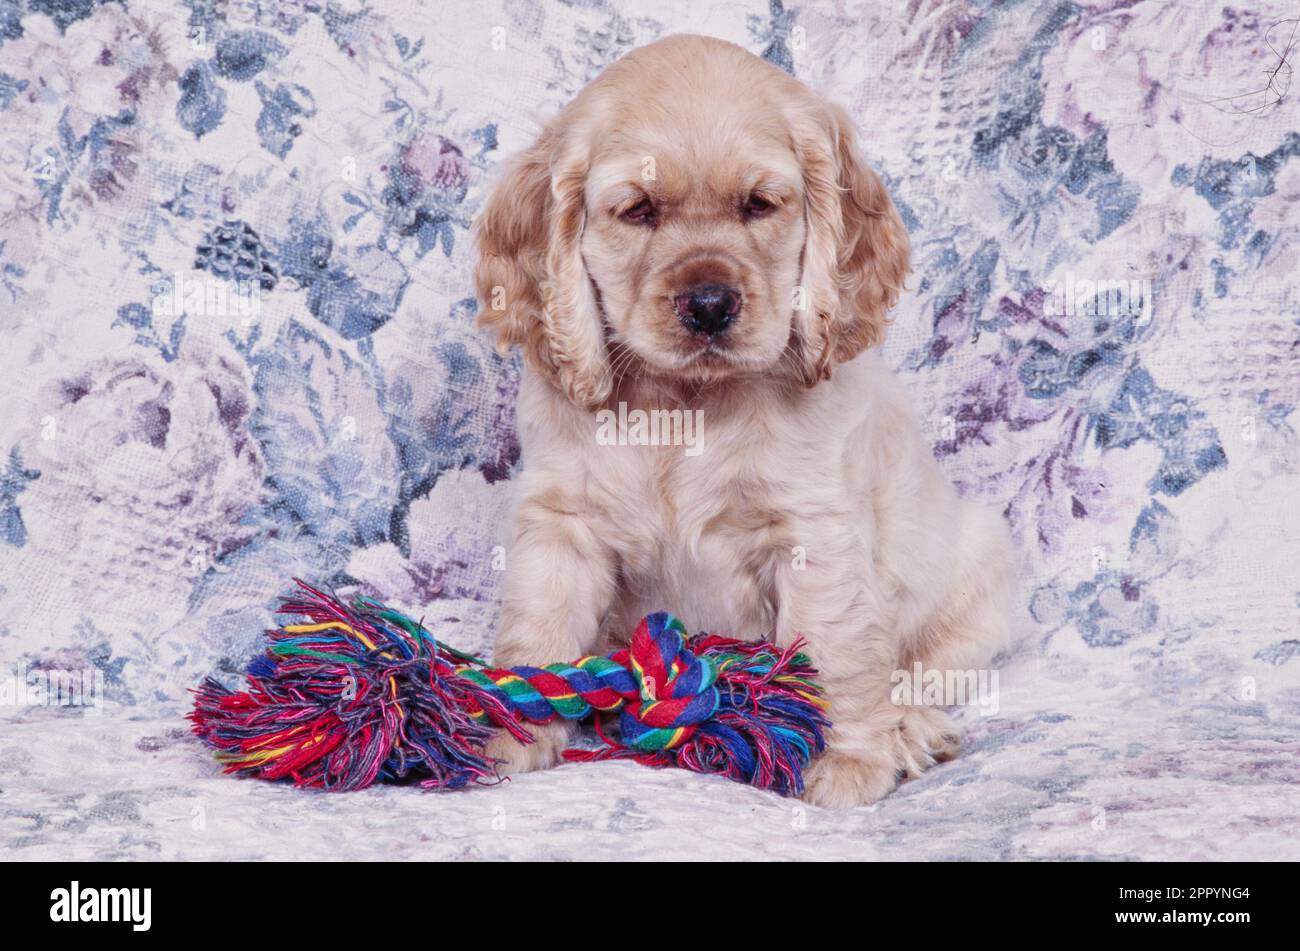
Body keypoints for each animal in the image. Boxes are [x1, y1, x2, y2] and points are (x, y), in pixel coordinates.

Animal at [473, 33, 1008, 805]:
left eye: (759, 205)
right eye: (638, 211)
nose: (709, 304)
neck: (687, 405)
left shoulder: (815, 534)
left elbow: (834, 650)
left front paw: (848, 761)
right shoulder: (562, 522)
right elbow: (536, 630)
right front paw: (504, 734)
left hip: (981, 570)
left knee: (920, 671)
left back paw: (909, 730)